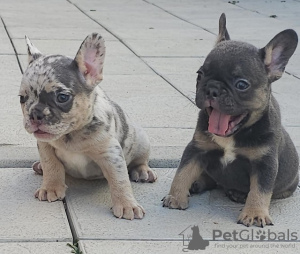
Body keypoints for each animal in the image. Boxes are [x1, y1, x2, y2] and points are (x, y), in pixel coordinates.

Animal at [19, 33, 157, 220]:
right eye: (22, 98)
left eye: (62, 97)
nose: (35, 114)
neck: (71, 134)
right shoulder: (45, 145)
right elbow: (51, 165)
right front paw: (51, 187)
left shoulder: (111, 153)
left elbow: (119, 179)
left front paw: (127, 204)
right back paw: (39, 166)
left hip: (141, 140)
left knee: (140, 159)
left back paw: (143, 171)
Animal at [163, 12, 298, 227]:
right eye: (200, 74)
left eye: (241, 84)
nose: (212, 88)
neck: (233, 135)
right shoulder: (197, 149)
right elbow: (183, 172)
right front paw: (176, 197)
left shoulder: (265, 163)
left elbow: (259, 190)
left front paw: (255, 213)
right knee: (212, 179)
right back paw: (197, 183)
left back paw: (239, 194)